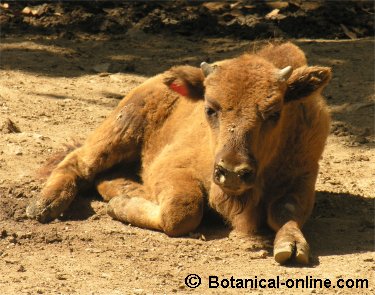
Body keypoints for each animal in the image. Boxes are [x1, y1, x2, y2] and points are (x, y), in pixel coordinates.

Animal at [27, 42, 332, 266]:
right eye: (210, 108)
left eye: (274, 113)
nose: (232, 172)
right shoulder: (172, 167)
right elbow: (181, 213)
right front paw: (119, 207)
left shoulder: (302, 179)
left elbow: (284, 213)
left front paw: (291, 246)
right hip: (119, 131)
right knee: (77, 163)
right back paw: (44, 205)